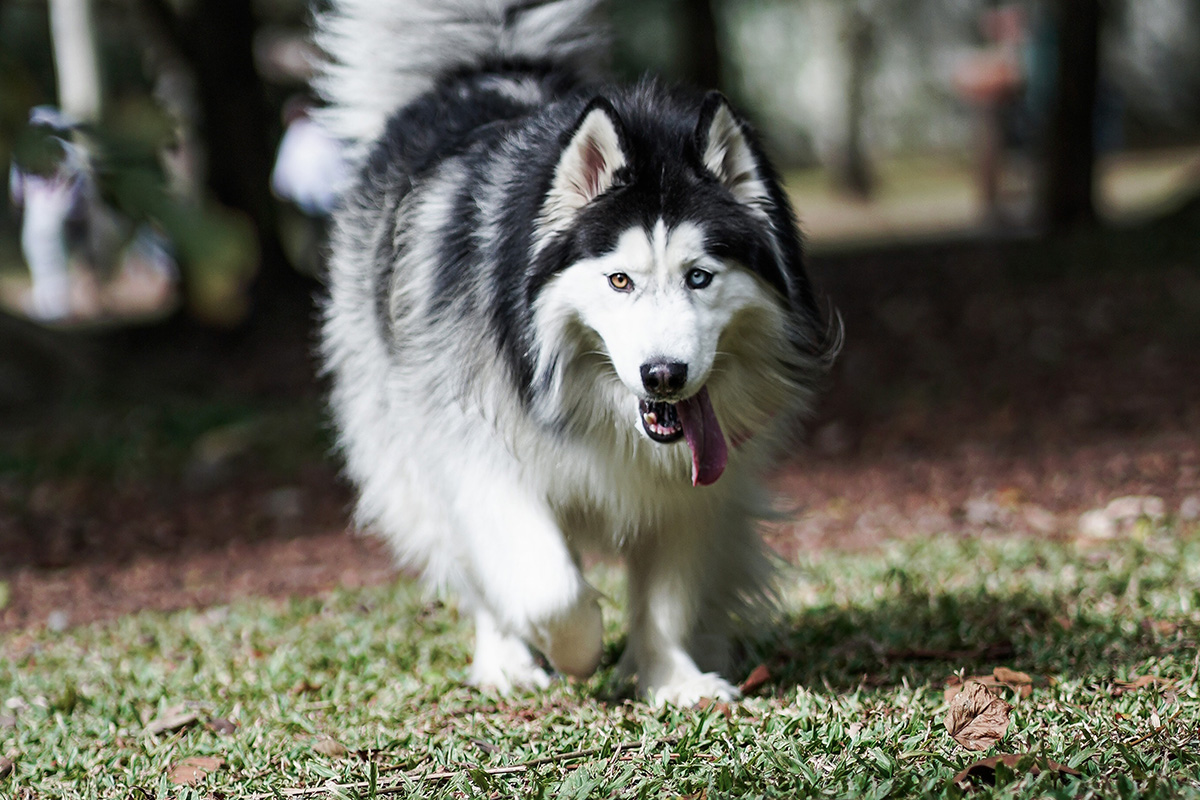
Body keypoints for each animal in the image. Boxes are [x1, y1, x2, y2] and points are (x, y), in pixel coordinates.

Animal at [314, 0, 830, 705]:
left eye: (700, 277)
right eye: (620, 281)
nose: (664, 375)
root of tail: (493, 66)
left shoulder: (698, 490)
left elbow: (667, 599)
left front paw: (671, 678)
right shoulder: (479, 457)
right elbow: (552, 592)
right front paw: (579, 651)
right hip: (404, 444)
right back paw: (506, 660)